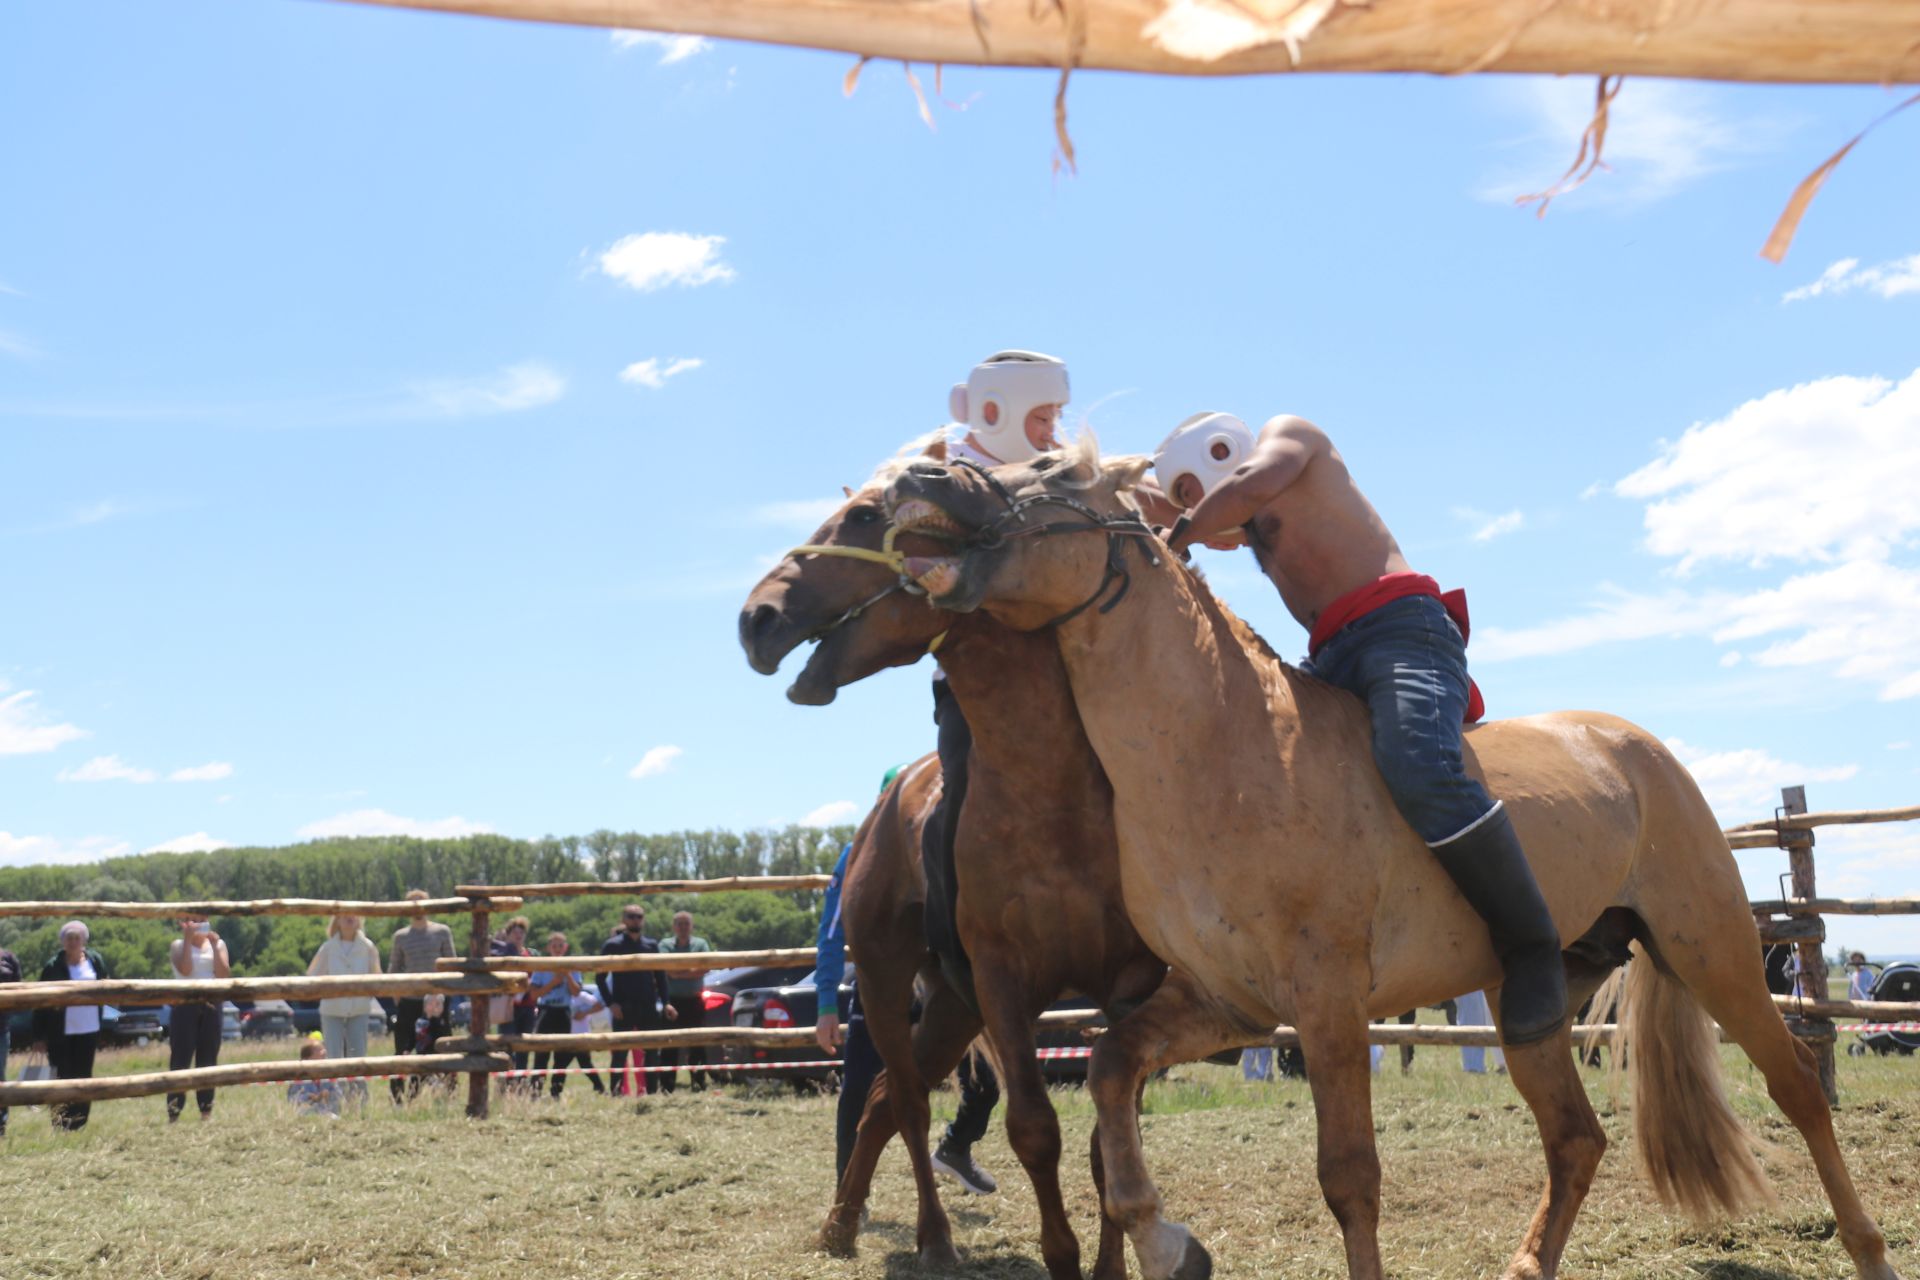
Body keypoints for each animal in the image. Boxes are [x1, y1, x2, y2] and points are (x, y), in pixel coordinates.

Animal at [737, 474, 1159, 1280]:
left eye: (863, 515)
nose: (755, 617)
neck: (1052, 791)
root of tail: (883, 810)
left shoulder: (1128, 983)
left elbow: (1107, 1132)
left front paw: (1111, 1266)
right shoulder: (1001, 979)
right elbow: (1035, 1129)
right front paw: (1063, 1257)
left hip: (952, 1007)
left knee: (876, 1100)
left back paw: (841, 1226)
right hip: (888, 979)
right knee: (903, 1100)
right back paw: (927, 1239)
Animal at [879, 441, 1896, 1280]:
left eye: (1053, 469)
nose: (910, 480)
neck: (1223, 747)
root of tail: (1633, 747)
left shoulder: (1329, 1003)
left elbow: (1350, 1178)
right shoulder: (1224, 1002)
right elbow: (1108, 1075)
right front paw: (1170, 1243)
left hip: (1714, 950)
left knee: (1797, 1090)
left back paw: (1869, 1251)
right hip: (1534, 1007)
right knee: (1575, 1140)